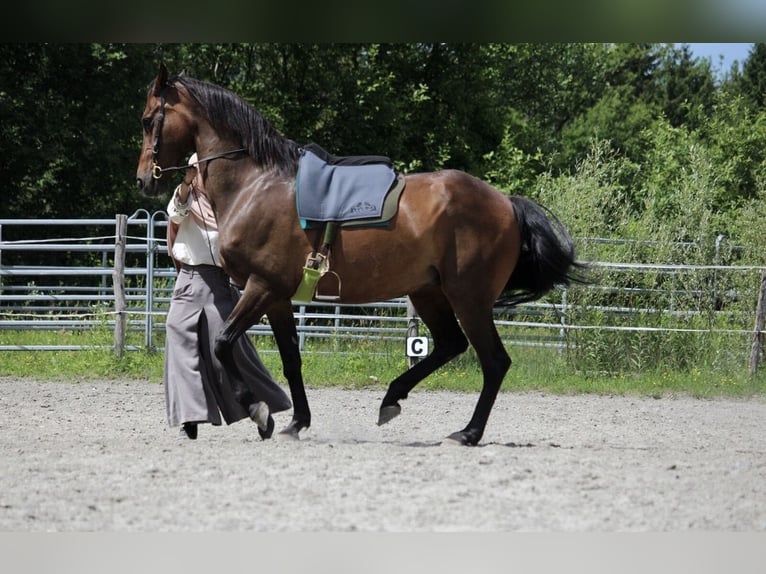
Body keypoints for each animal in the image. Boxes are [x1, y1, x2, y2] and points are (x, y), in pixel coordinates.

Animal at [136, 63, 584, 446]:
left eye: (147, 120)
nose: (143, 180)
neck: (255, 184)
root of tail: (505, 202)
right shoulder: (277, 297)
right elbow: (290, 359)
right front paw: (296, 422)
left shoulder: (261, 288)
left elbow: (223, 344)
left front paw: (261, 413)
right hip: (428, 292)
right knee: (451, 345)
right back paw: (392, 399)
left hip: (468, 298)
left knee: (493, 361)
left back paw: (467, 432)